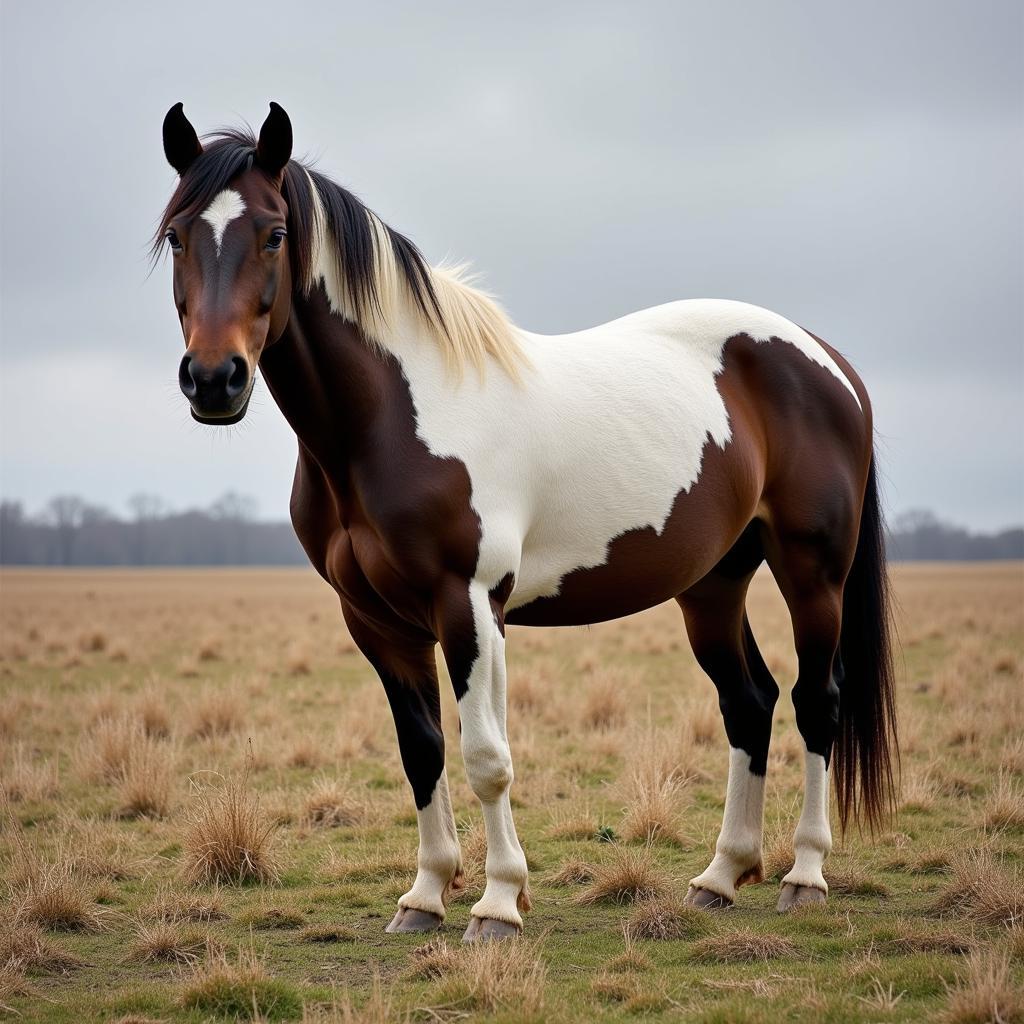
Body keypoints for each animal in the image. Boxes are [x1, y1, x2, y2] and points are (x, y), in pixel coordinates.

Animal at [153, 99, 897, 937]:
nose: (214, 380)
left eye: (275, 233)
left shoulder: (470, 605)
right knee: (750, 703)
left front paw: (499, 901)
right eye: (177, 234)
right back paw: (721, 875)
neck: (392, 416)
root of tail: (826, 360)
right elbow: (422, 751)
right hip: (713, 584)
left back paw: (804, 873)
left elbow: (487, 758)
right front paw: (425, 895)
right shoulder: (375, 621)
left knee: (815, 702)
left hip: (812, 573)